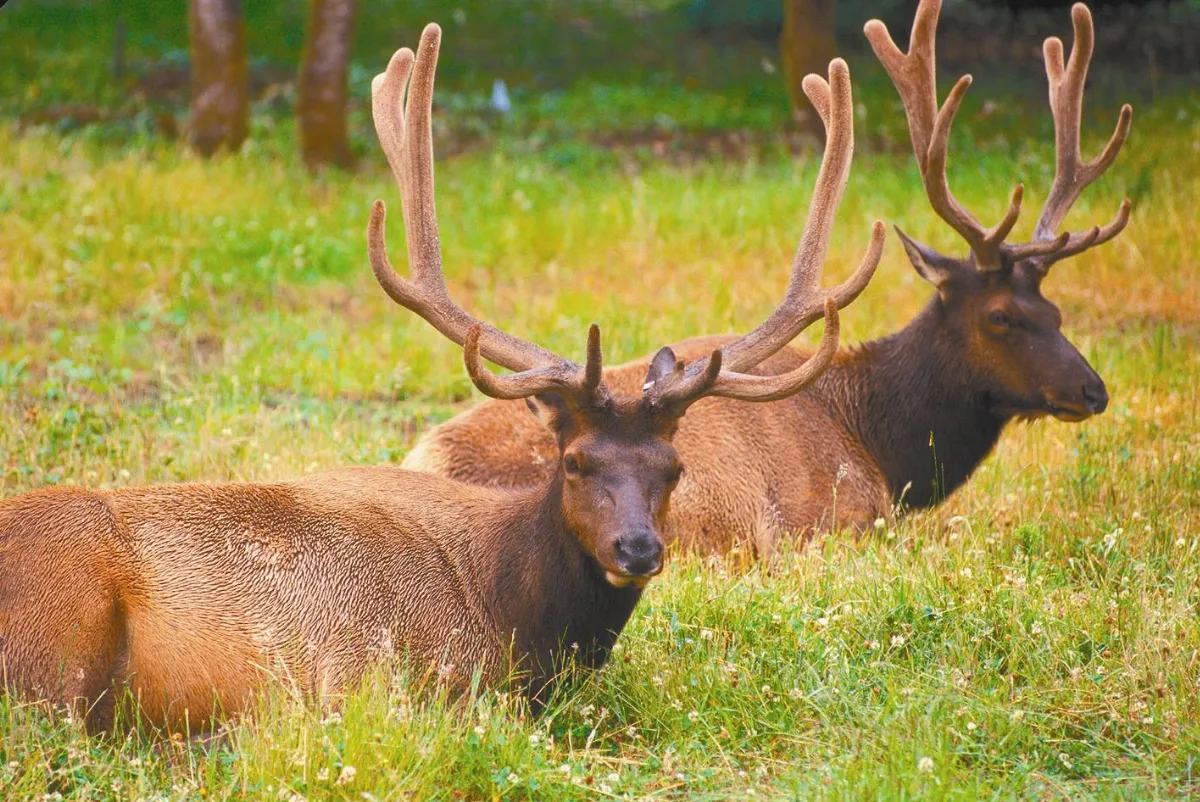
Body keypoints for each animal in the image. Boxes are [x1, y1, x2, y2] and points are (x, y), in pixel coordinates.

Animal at [0, 24, 883, 732]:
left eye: (674, 467)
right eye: (575, 461)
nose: (638, 547)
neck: (510, 615)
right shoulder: (383, 672)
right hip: (59, 638)